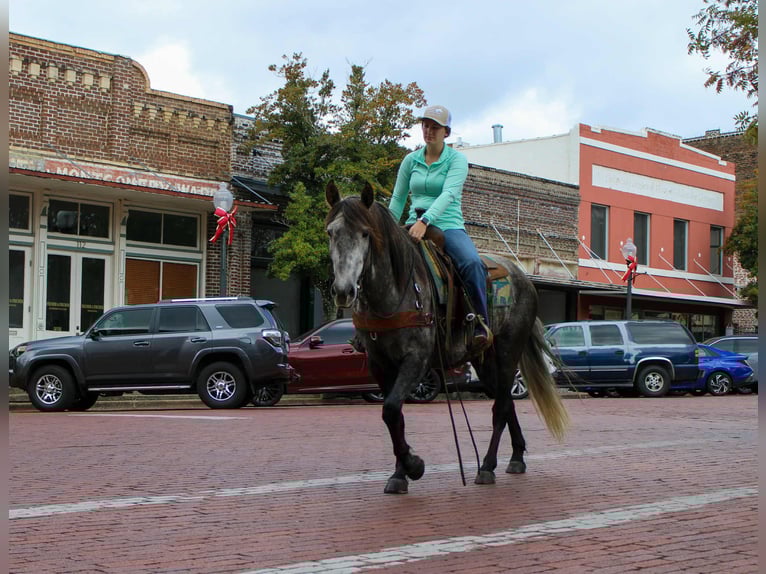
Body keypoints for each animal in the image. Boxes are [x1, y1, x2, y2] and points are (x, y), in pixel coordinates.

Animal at [325, 181, 568, 494]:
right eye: (331, 232)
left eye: (365, 233)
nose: (344, 291)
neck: (396, 291)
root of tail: (524, 279)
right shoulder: (380, 364)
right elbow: (395, 415)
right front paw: (400, 474)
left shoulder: (416, 360)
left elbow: (390, 409)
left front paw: (414, 466)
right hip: (485, 363)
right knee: (507, 403)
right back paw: (516, 457)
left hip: (507, 352)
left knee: (501, 407)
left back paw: (487, 467)